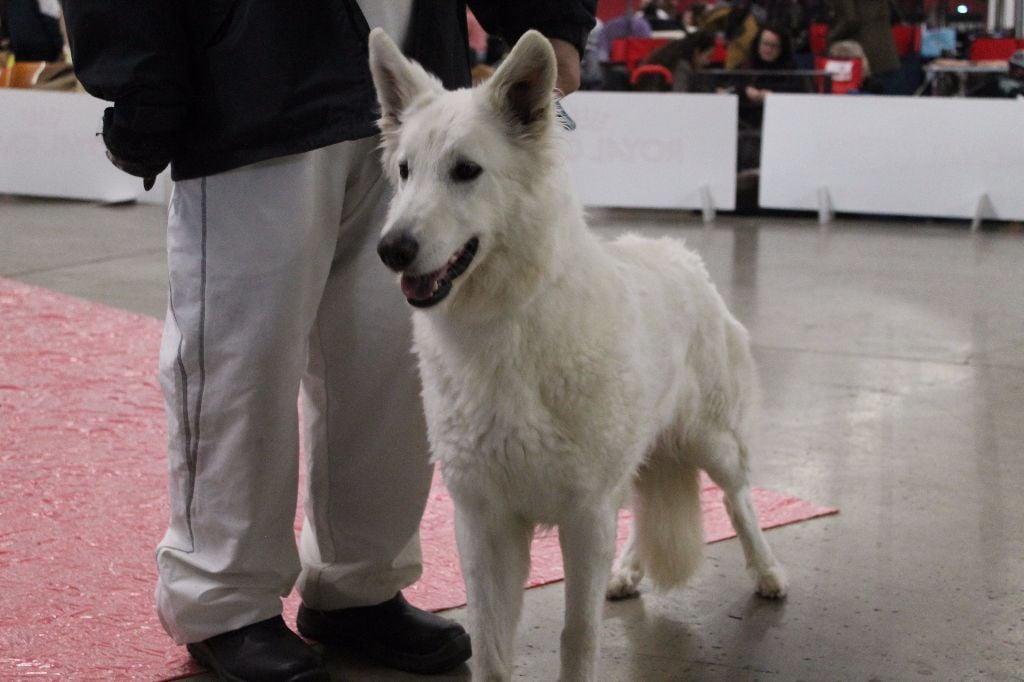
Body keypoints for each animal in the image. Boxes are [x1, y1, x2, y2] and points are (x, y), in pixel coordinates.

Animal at [366, 27, 782, 679]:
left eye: (465, 171)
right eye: (405, 171)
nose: (392, 249)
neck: (505, 327)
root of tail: (679, 254)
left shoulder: (584, 515)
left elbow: (577, 634)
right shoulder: (483, 521)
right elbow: (491, 645)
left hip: (712, 443)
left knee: (739, 503)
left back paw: (767, 574)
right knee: (644, 508)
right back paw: (628, 573)